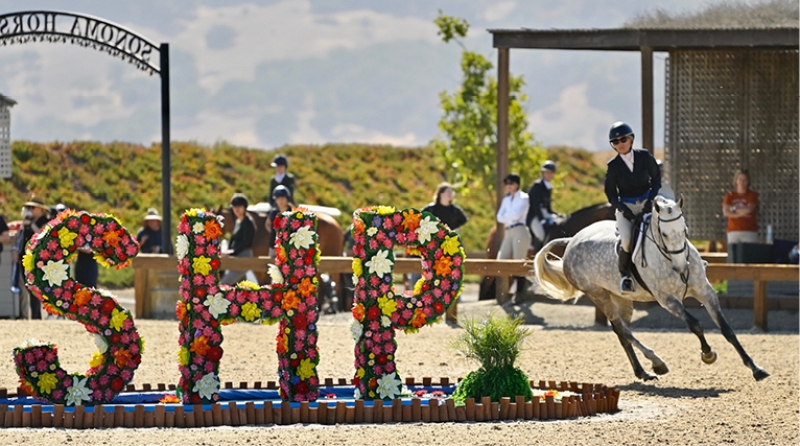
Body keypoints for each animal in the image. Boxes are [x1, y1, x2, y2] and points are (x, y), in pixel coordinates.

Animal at [532, 197, 768, 382]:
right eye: (663, 234)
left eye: (685, 230)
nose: (682, 268)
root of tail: (572, 240)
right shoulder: (667, 299)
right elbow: (695, 324)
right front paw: (708, 354)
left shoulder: (705, 291)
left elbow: (727, 329)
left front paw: (756, 369)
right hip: (597, 294)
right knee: (623, 329)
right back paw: (657, 363)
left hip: (620, 297)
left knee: (621, 331)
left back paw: (643, 372)